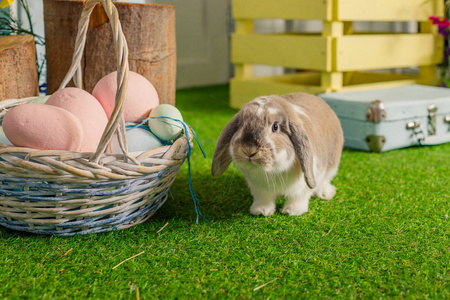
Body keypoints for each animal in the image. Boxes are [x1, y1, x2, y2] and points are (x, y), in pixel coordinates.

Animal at [213, 92, 342, 217]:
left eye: (275, 127)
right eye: (241, 124)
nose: (249, 151)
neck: (272, 171)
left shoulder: (302, 187)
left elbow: (298, 198)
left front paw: (292, 211)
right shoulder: (260, 189)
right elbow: (264, 199)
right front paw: (261, 211)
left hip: (332, 165)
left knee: (326, 179)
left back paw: (324, 194)